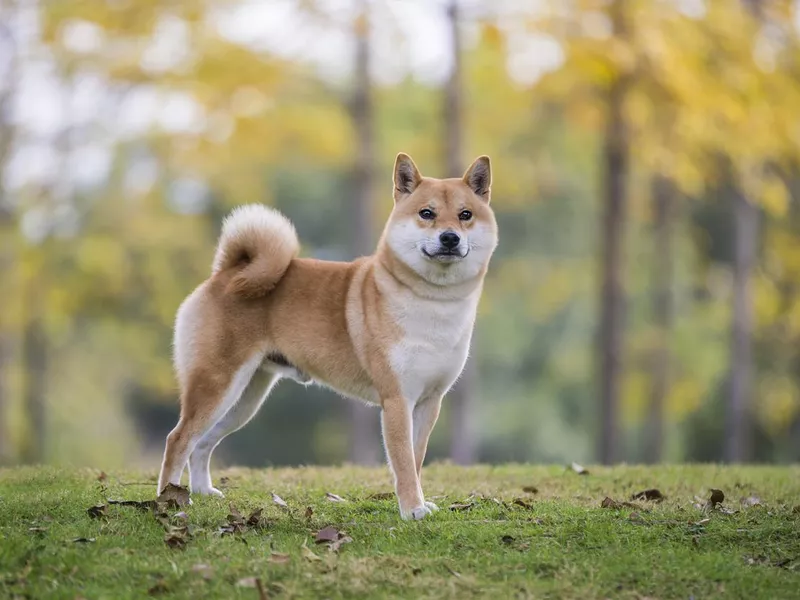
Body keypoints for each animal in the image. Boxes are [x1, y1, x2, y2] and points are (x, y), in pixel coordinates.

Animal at [157, 152, 496, 516]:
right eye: (426, 213)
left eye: (465, 215)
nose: (450, 237)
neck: (433, 302)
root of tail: (227, 273)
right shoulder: (397, 400)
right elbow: (404, 463)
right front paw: (412, 510)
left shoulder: (429, 401)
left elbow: (417, 460)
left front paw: (419, 502)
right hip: (217, 384)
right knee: (178, 439)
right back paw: (169, 499)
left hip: (243, 399)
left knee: (202, 442)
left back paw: (203, 490)